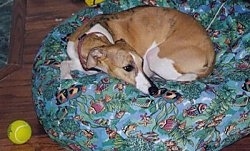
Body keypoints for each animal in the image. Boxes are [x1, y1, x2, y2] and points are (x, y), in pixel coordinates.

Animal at [60, 6, 215, 95]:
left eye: (141, 64)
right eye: (128, 67)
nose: (154, 90)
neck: (92, 35)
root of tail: (211, 52)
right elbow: (63, 63)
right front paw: (66, 77)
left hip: (154, 57)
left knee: (181, 77)